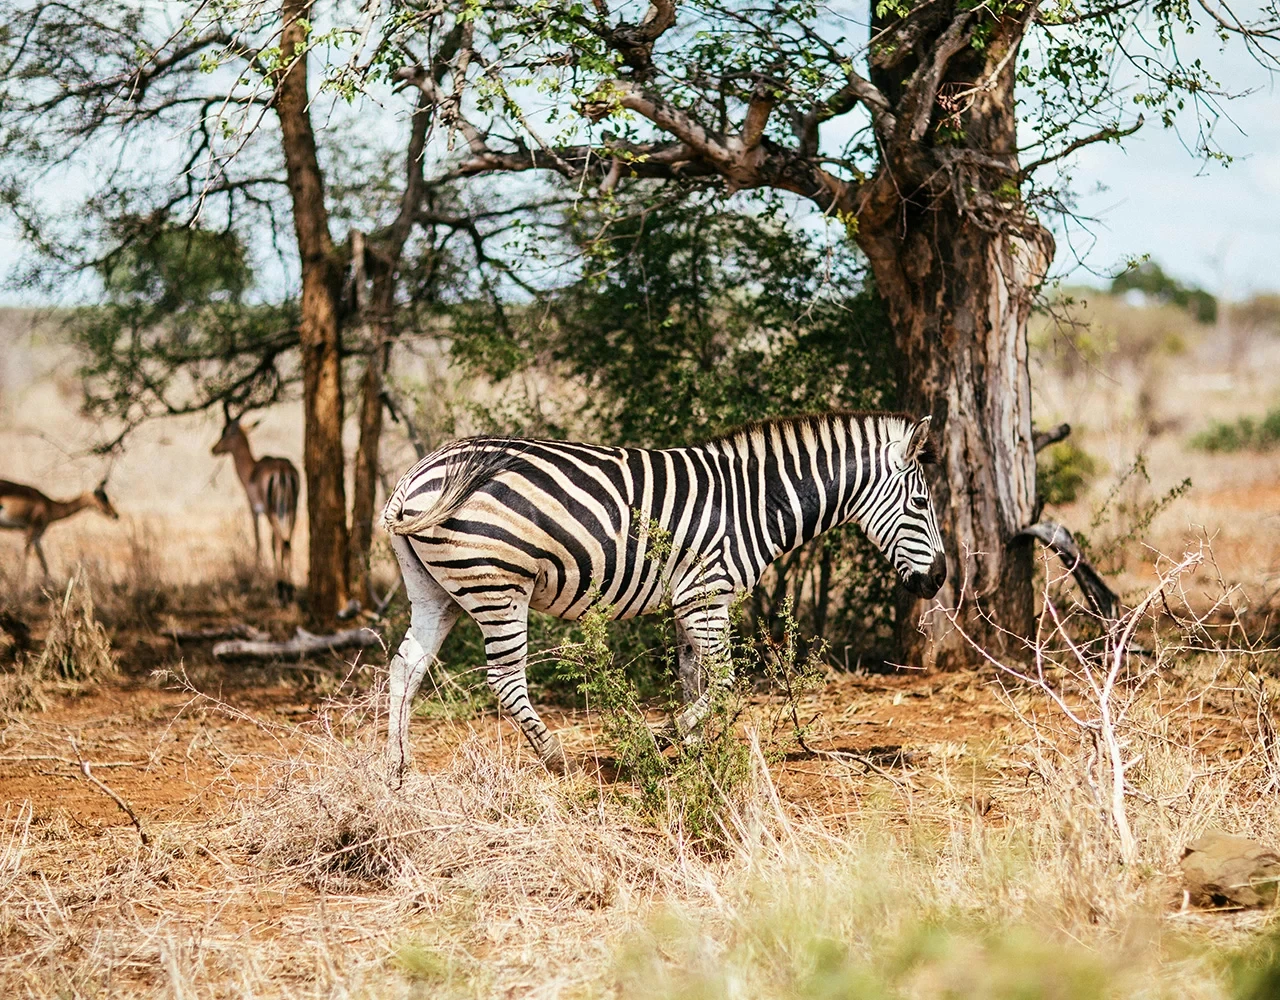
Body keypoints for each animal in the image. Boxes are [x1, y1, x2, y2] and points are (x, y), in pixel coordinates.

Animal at [373, 407, 947, 773]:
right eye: (921, 504)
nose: (939, 578)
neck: (756, 502)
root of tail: (415, 475)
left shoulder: (691, 603)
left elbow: (696, 683)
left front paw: (694, 755)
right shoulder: (706, 596)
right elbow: (725, 685)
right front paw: (659, 738)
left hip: (437, 591)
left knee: (407, 666)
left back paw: (397, 768)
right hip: (498, 584)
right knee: (504, 679)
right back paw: (557, 759)